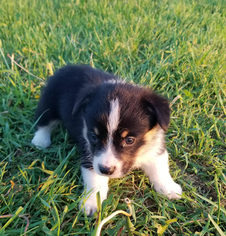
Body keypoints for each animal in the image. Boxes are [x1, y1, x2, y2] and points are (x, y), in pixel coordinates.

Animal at [31, 65, 183, 216]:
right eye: (93, 136)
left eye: (129, 140)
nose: (106, 170)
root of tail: (66, 67)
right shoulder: (89, 154)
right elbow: (95, 181)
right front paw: (91, 202)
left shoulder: (155, 148)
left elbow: (160, 169)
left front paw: (169, 188)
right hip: (49, 103)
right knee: (43, 121)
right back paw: (40, 141)